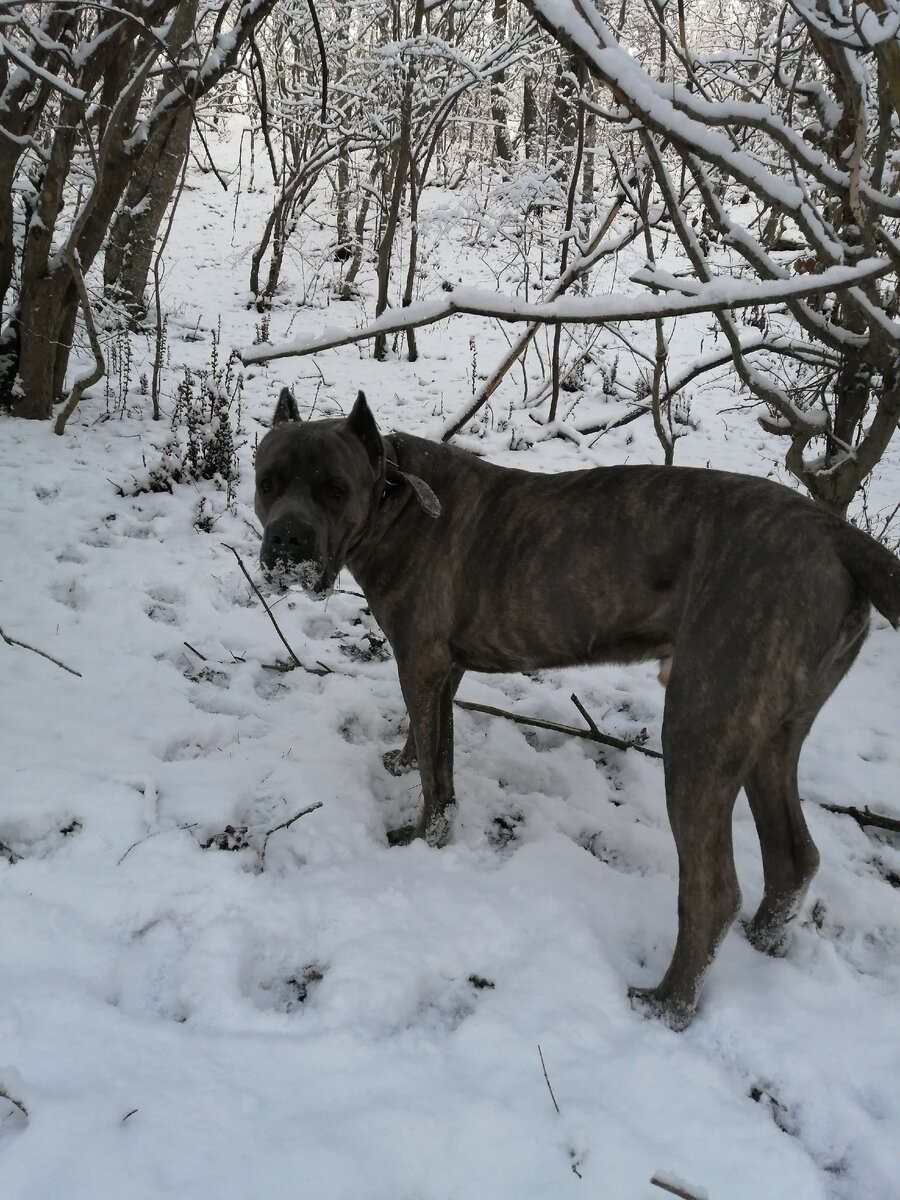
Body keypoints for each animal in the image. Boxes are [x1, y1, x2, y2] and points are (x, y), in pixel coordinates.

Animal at [254, 388, 900, 1027]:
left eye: (335, 489)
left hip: (701, 728)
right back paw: (764, 945)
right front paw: (406, 761)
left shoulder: (422, 662)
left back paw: (668, 1004)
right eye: (268, 483)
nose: (286, 539)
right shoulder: (444, 669)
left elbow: (438, 777)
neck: (393, 492)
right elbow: (434, 742)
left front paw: (422, 839)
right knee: (793, 859)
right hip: (774, 733)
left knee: (713, 889)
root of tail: (836, 535)